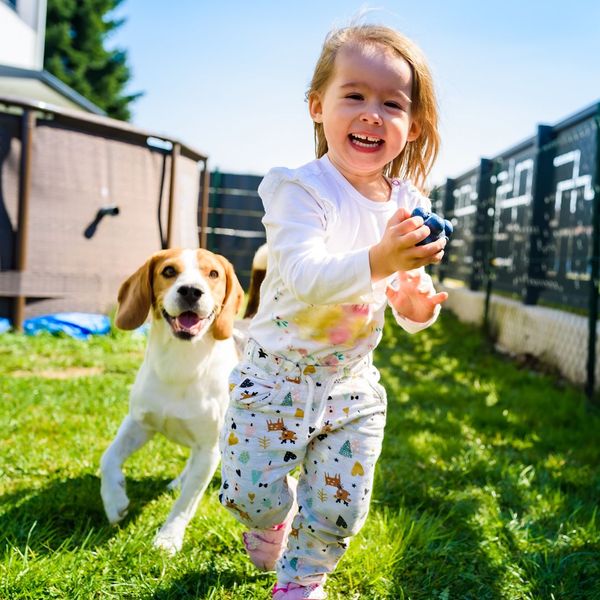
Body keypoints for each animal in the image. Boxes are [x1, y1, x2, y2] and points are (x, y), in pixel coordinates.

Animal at [101, 247, 244, 552]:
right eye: (169, 271)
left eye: (213, 273)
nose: (191, 291)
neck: (180, 365)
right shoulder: (139, 423)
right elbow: (107, 459)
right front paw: (114, 501)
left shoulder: (208, 448)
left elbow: (186, 503)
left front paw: (168, 538)